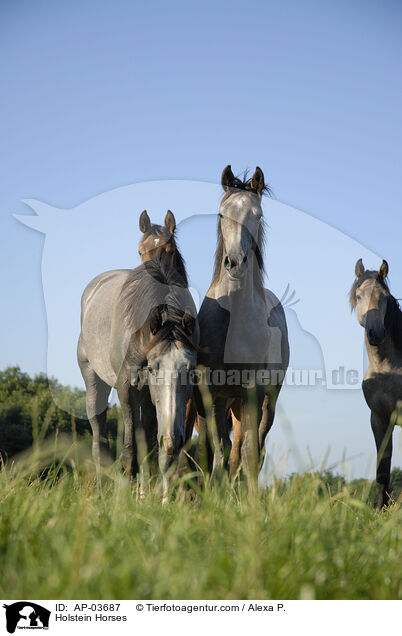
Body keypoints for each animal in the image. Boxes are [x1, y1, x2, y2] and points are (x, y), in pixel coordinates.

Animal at [77, 212, 199, 492]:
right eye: (140, 250)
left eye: (170, 249)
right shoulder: (127, 387)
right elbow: (130, 447)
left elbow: (153, 446)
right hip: (94, 379)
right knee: (100, 435)